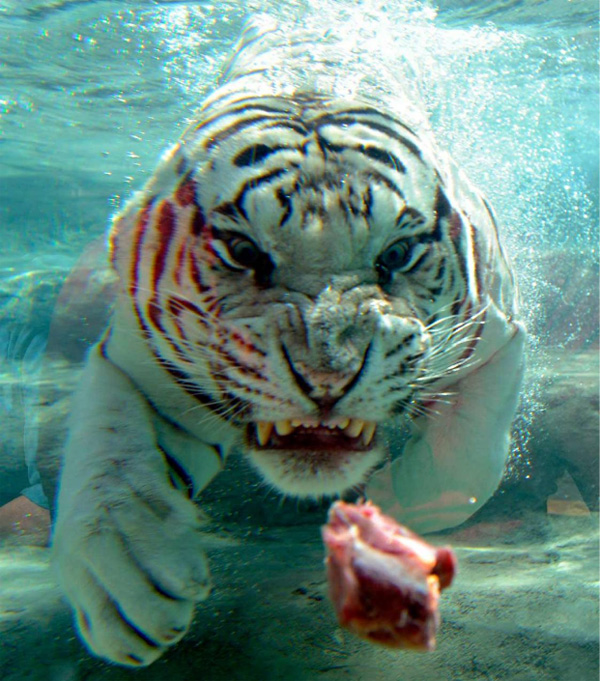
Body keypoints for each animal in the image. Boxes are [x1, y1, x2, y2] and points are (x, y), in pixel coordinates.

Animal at [52, 18, 525, 667]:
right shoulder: (136, 356)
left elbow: (471, 461)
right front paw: (124, 579)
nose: (326, 378)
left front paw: (392, 504)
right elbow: (106, 456)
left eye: (398, 254)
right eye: (243, 251)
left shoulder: (499, 334)